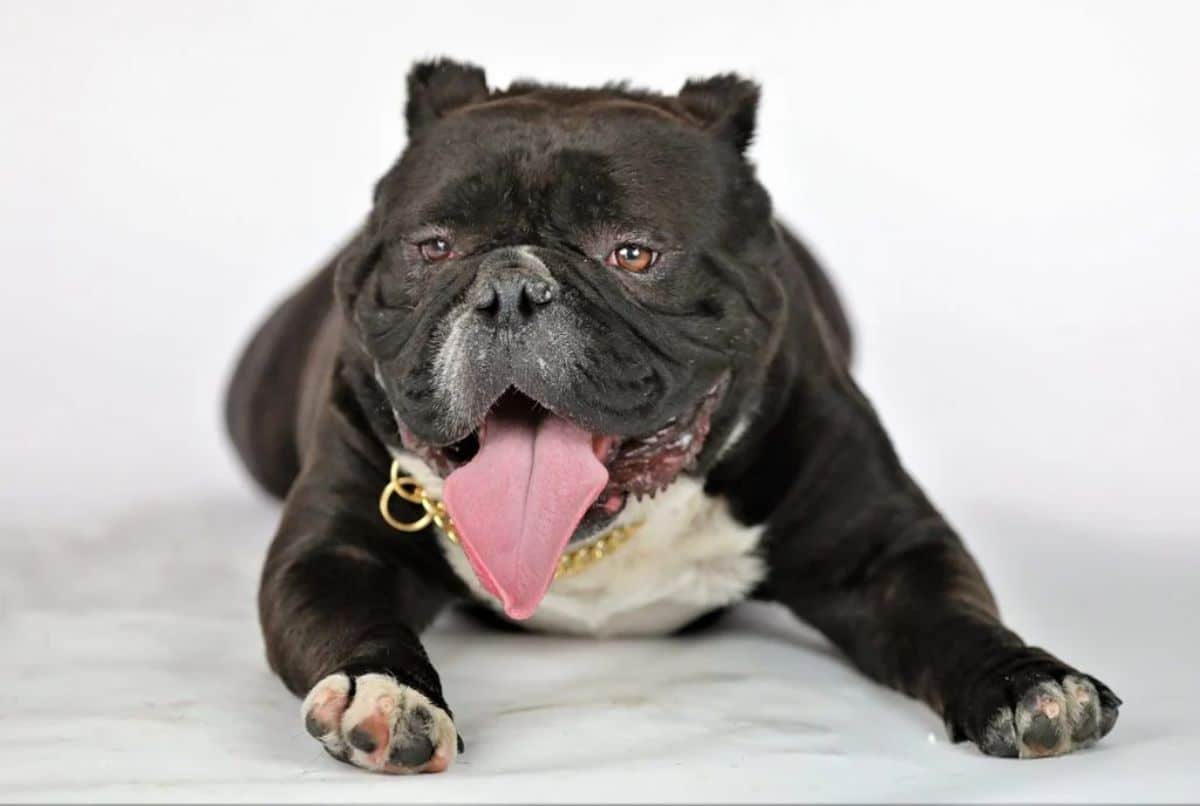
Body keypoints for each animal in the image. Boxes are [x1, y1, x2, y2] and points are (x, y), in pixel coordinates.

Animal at [229, 58, 1118, 772]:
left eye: (634, 253)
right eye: (435, 248)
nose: (509, 286)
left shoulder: (886, 553)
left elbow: (953, 615)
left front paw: (1027, 682)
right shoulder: (332, 553)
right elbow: (352, 619)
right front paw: (382, 693)